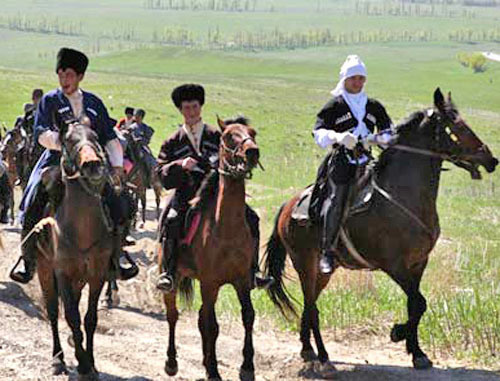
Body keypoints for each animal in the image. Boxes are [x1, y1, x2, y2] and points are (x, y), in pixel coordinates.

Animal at [35, 122, 112, 380]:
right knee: (52, 312)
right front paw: (83, 363)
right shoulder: (62, 274)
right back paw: (57, 359)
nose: (93, 164)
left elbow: (89, 319)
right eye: (68, 140)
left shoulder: (98, 274)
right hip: (44, 270)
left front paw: (90, 363)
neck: (83, 228)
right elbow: (70, 316)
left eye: (95, 136)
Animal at [160, 116, 262, 380]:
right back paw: (172, 362)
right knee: (173, 315)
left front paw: (247, 366)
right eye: (228, 136)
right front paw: (214, 370)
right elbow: (212, 326)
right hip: (173, 278)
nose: (252, 152)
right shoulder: (210, 283)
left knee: (200, 318)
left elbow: (248, 316)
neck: (226, 228)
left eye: (252, 133)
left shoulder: (241, 280)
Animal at [264, 88, 498, 372]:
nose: (490, 159)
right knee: (312, 307)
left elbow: (415, 306)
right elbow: (419, 302)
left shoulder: (418, 263)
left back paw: (307, 350)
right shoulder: (393, 265)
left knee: (311, 306)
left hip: (321, 273)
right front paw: (398, 333)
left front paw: (417, 352)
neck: (404, 195)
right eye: (456, 128)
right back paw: (324, 357)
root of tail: (287, 206)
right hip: (304, 264)